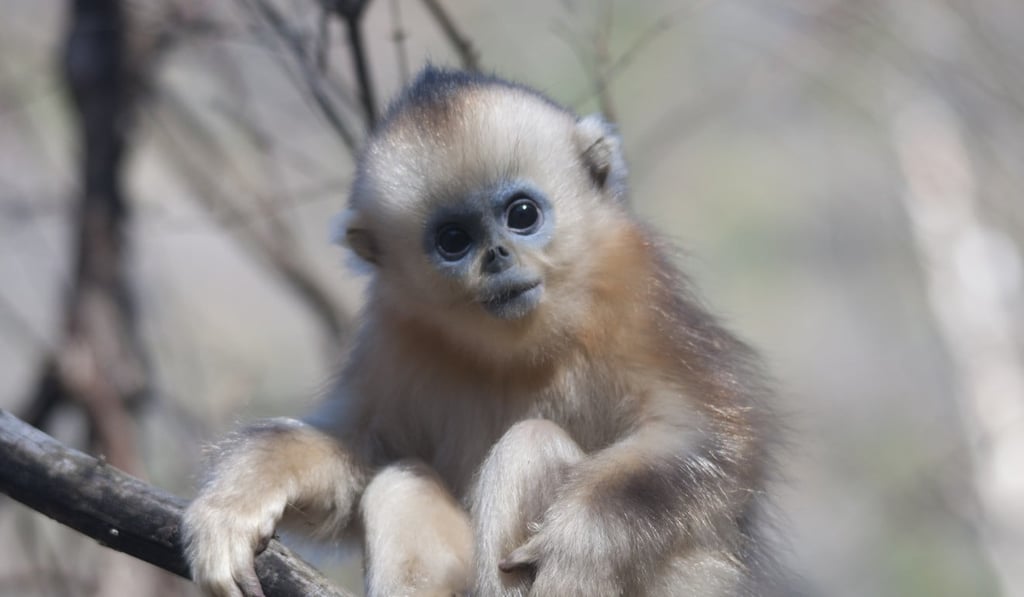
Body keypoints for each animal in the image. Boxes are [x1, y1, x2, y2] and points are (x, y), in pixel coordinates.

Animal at [183, 66, 780, 597]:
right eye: (453, 240)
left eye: (522, 214)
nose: (495, 256)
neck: (522, 350)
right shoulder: (395, 337)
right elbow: (356, 459)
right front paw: (240, 495)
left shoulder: (640, 300)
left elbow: (702, 437)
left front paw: (577, 544)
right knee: (400, 478)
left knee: (529, 442)